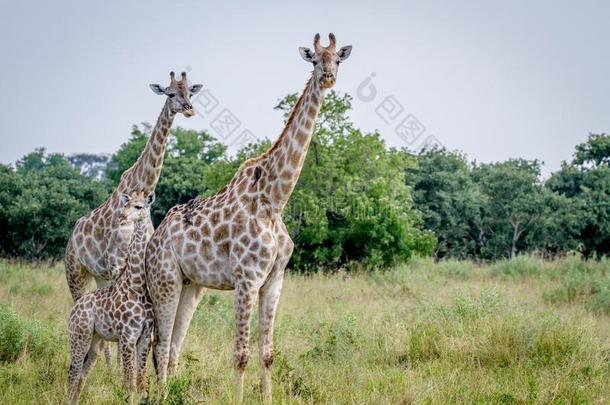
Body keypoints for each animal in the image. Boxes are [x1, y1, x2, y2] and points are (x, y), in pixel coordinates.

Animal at [64, 72, 202, 362]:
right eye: (170, 93)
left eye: (190, 93)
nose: (188, 109)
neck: (141, 185)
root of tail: (72, 236)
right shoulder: (117, 262)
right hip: (76, 273)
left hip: (100, 275)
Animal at [67, 190, 154, 404]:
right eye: (126, 204)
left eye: (139, 206)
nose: (122, 217)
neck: (137, 284)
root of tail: (74, 309)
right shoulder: (127, 336)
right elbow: (128, 382)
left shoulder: (145, 337)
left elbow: (141, 381)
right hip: (79, 336)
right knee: (73, 372)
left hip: (95, 342)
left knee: (82, 373)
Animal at [144, 33, 352, 400]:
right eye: (314, 60)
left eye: (338, 59)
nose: (328, 77)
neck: (274, 201)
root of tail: (152, 242)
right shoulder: (246, 279)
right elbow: (240, 354)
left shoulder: (274, 281)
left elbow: (267, 354)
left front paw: (269, 398)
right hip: (164, 280)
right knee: (160, 343)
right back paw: (163, 395)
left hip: (190, 285)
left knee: (173, 346)